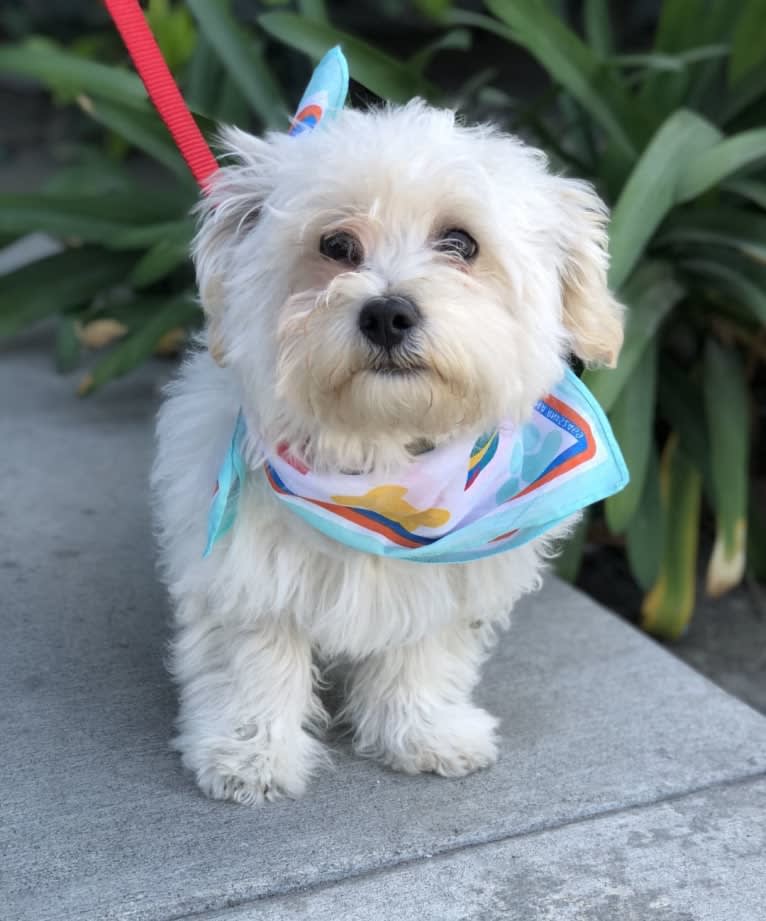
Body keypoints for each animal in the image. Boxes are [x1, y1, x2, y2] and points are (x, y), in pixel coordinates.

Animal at [152, 100, 624, 800]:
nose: (386, 315)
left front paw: (424, 732)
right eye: (335, 246)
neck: (383, 459)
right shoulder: (244, 572)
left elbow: (422, 654)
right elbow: (256, 658)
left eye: (461, 243)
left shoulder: (445, 576)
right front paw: (250, 754)